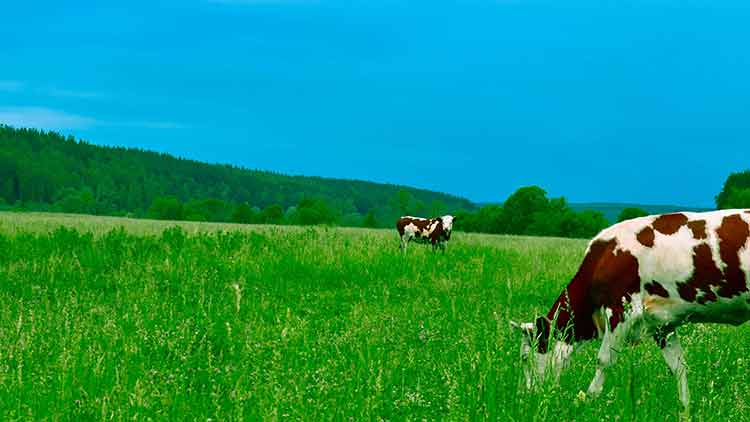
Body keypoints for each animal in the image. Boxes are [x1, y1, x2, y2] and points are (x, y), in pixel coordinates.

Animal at [511, 209, 750, 412]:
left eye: (525, 357)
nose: (525, 397)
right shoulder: (663, 324)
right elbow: (678, 366)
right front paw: (685, 409)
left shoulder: (621, 311)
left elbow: (604, 360)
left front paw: (589, 402)